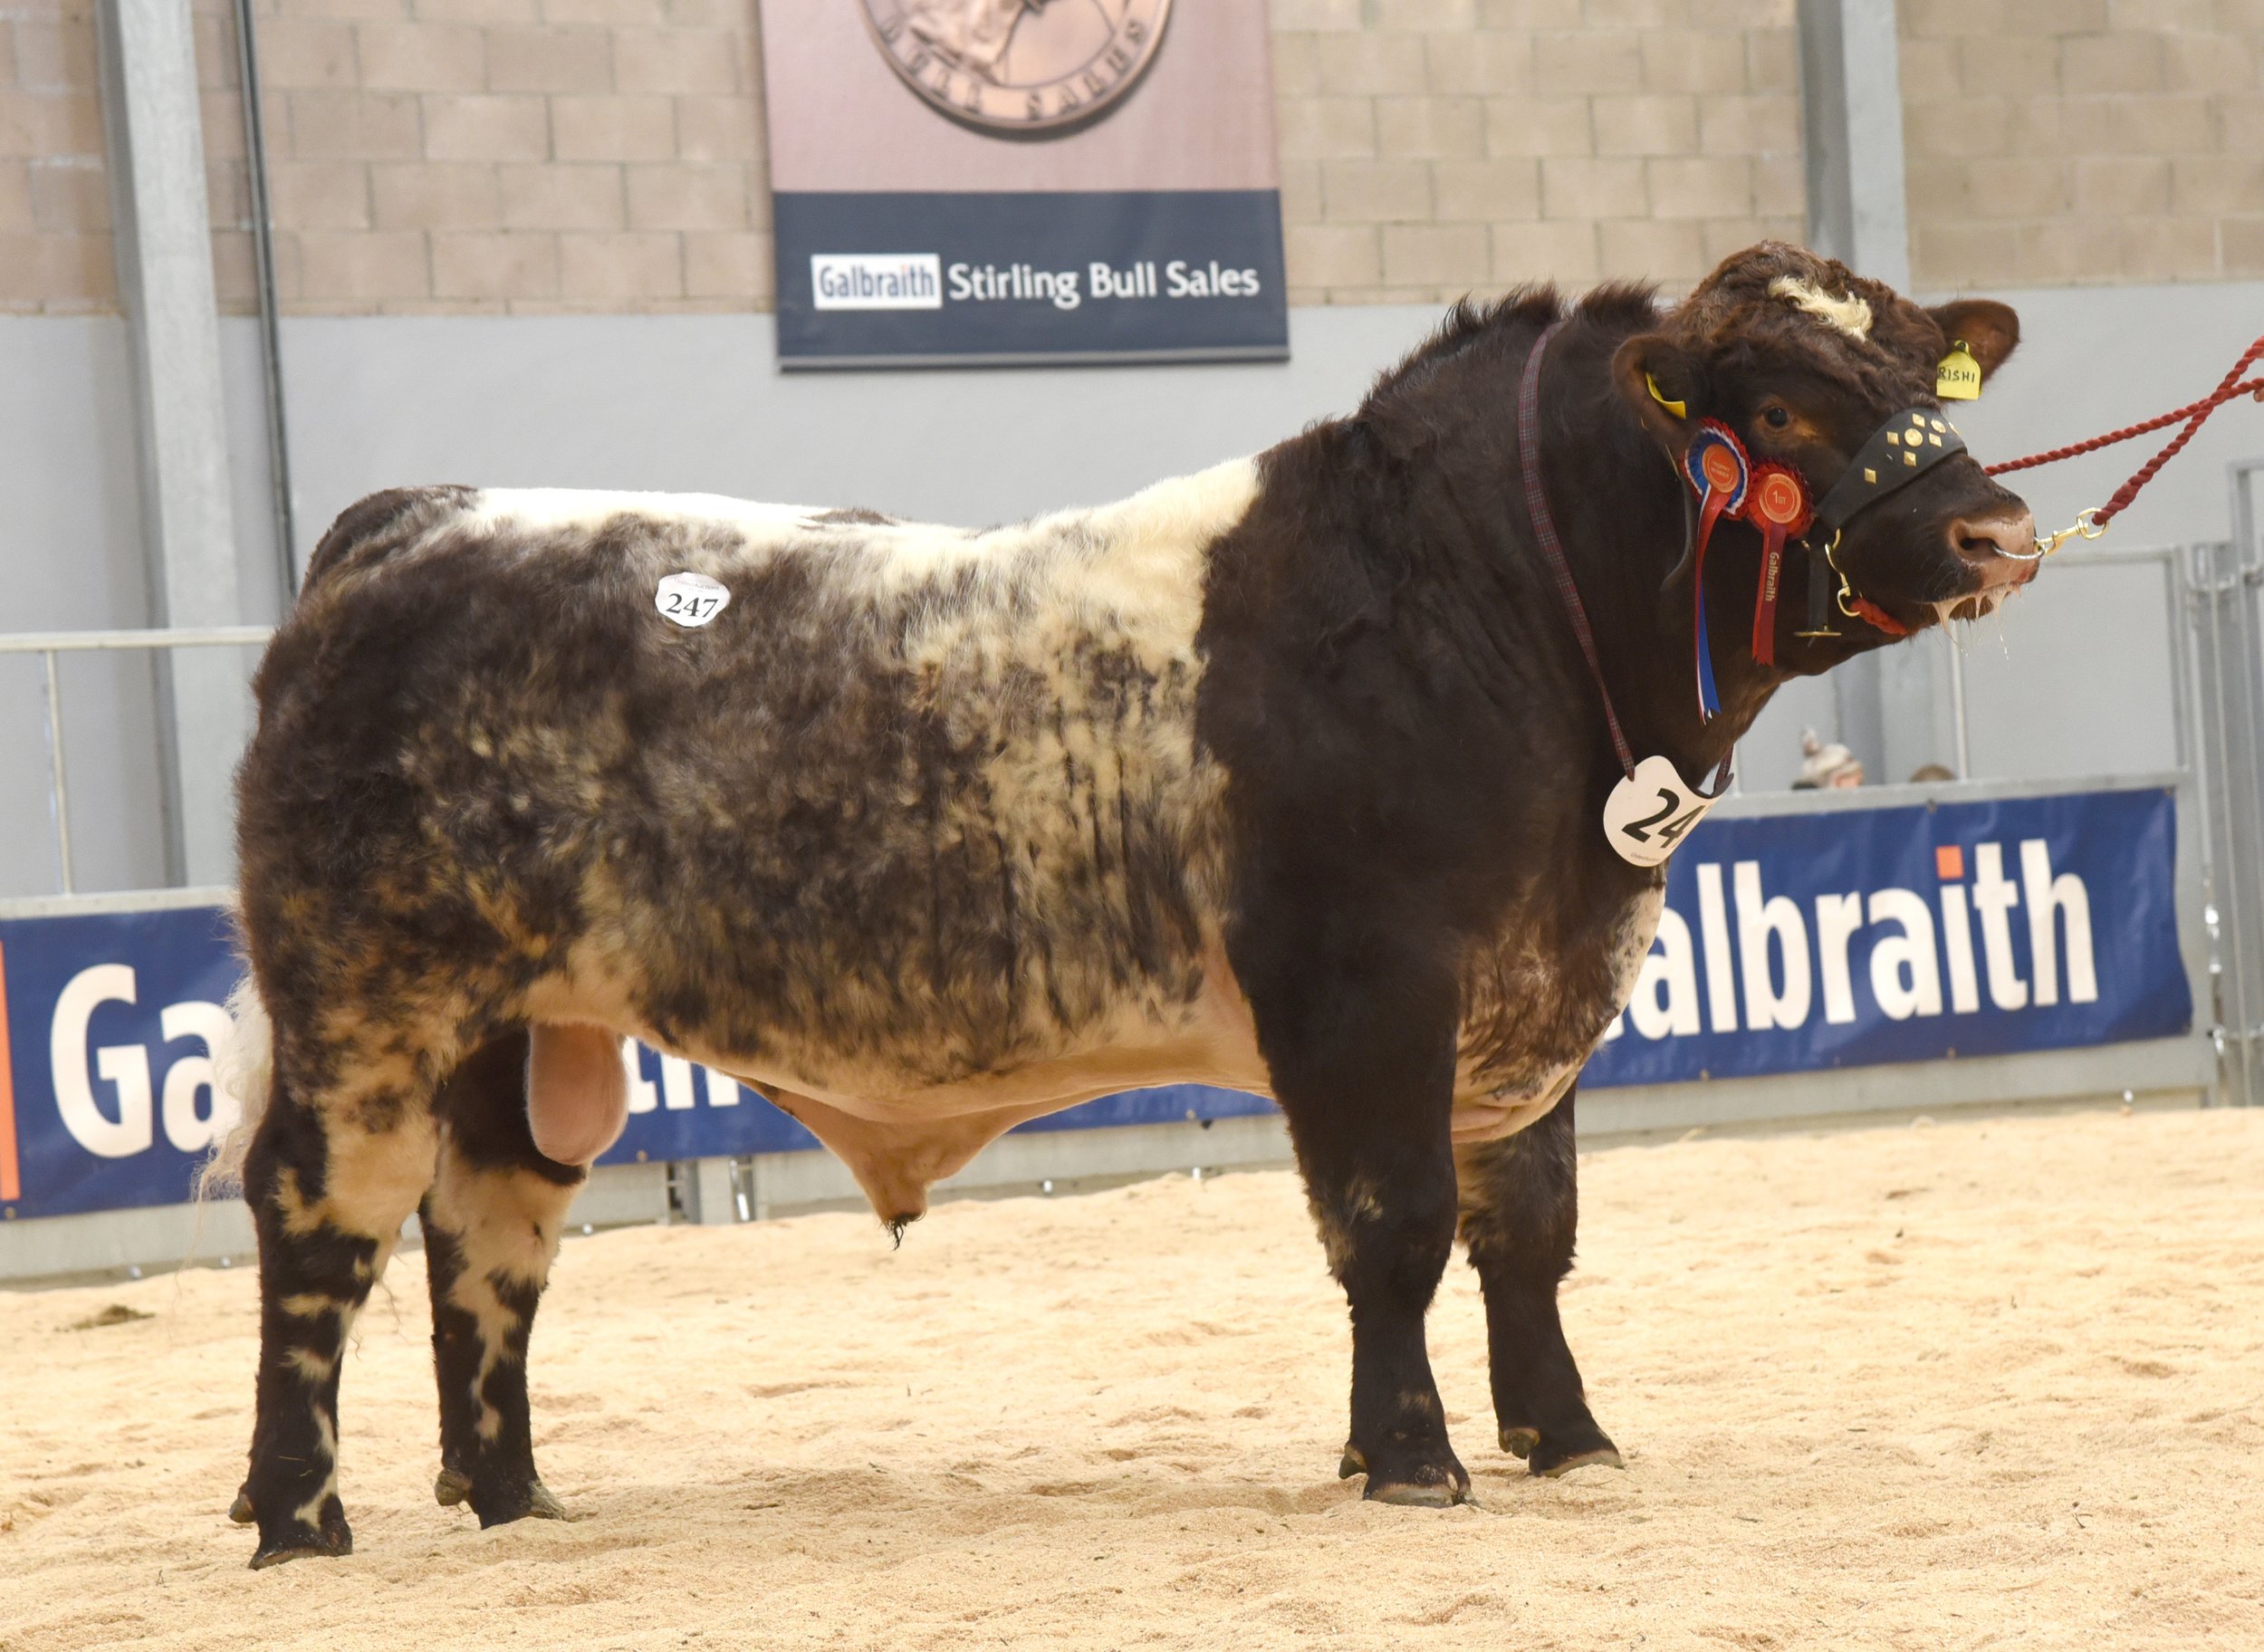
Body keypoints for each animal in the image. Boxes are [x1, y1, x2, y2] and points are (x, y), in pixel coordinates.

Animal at [220, 241, 2047, 1557]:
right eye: (1785, 407)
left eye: (1920, 370)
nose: (1998, 527)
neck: (1489, 606)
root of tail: (415, 520)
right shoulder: (1366, 985)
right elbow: (1394, 1226)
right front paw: (1413, 1458)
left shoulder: (1536, 999)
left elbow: (1528, 1231)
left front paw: (1566, 1437)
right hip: (363, 994)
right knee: (323, 1215)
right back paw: (304, 1516)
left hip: (519, 1029)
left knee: (488, 1233)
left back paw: (511, 1498)